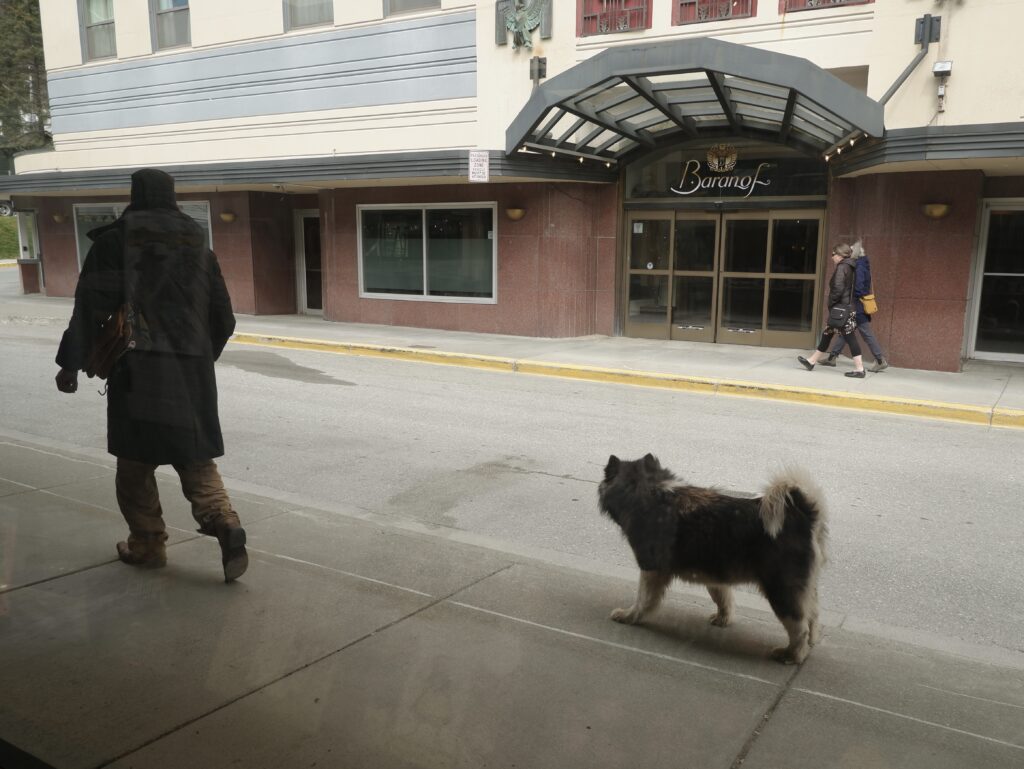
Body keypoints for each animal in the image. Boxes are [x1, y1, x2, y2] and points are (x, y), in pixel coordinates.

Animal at [598, 454, 823, 663]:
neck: (649, 489)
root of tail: (804, 515)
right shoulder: (715, 574)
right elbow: (722, 598)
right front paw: (723, 619)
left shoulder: (651, 570)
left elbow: (643, 599)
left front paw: (629, 616)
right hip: (804, 590)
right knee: (811, 617)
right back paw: (809, 644)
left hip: (781, 591)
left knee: (799, 628)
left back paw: (791, 655)